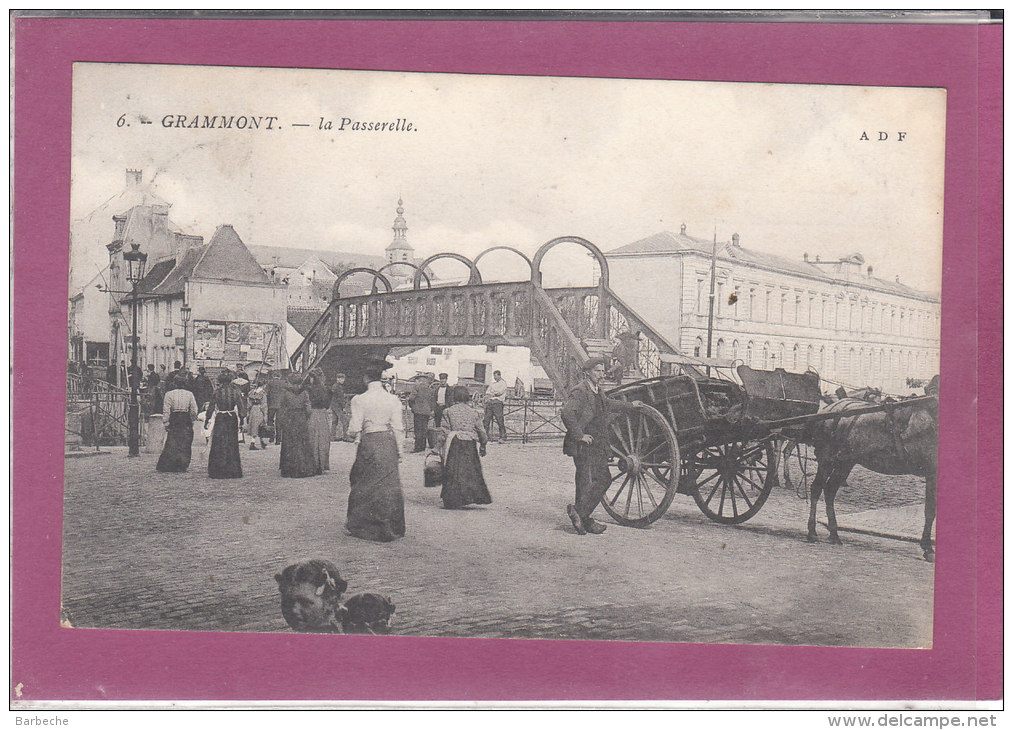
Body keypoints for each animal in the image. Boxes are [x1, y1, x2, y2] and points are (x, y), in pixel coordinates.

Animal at [802, 390, 936, 562]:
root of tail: (830, 408)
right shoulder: (932, 473)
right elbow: (929, 511)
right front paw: (927, 548)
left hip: (846, 461)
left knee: (830, 490)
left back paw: (834, 534)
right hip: (827, 458)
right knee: (816, 488)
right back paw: (812, 531)